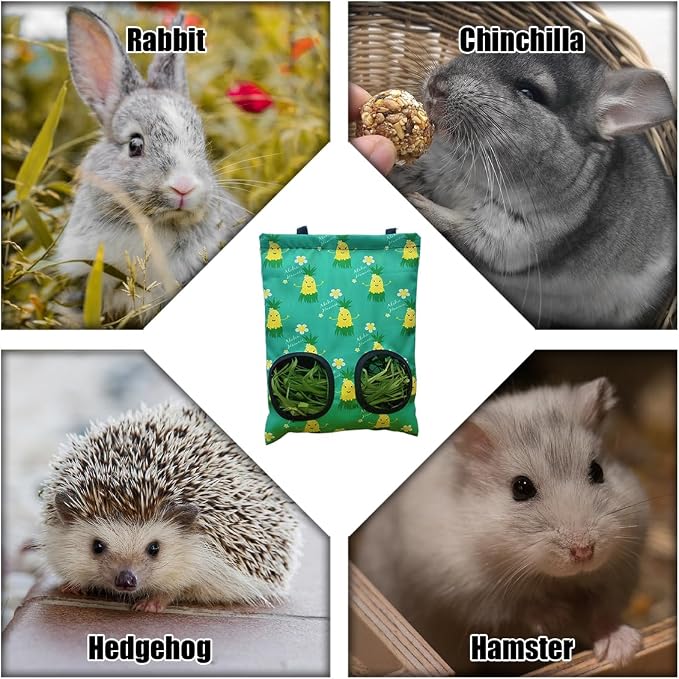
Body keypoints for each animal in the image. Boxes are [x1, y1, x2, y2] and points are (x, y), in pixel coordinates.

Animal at [354, 378, 649, 672]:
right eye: (521, 488)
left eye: (597, 471)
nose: (584, 552)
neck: (556, 578)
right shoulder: (467, 590)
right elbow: (517, 607)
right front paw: (560, 616)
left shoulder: (620, 568)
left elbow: (604, 609)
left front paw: (621, 652)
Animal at [391, 53, 676, 328]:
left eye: (530, 92)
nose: (436, 86)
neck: (470, 173)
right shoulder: (431, 169)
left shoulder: (510, 236)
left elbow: (456, 225)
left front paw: (418, 202)